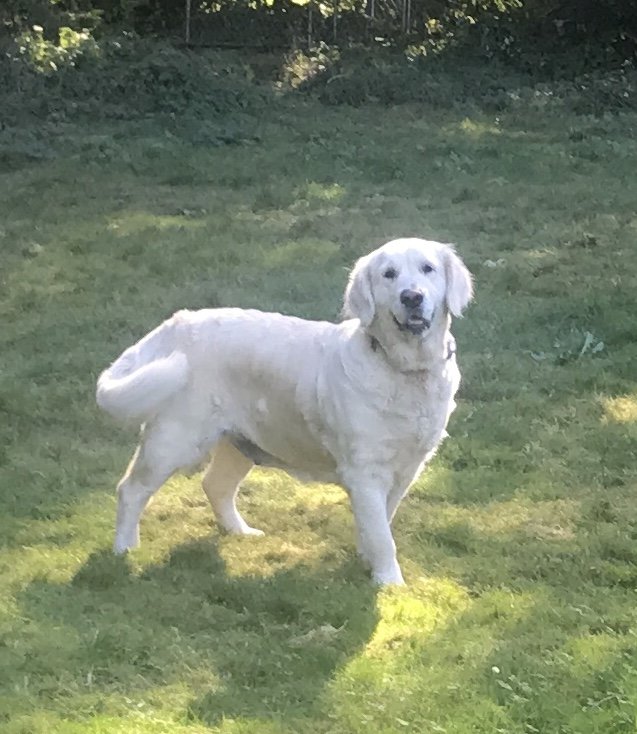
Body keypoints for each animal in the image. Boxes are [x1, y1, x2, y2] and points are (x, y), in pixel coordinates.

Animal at [95, 239, 472, 584]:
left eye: (427, 269)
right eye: (389, 274)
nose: (412, 297)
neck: (405, 370)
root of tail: (176, 324)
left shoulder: (409, 466)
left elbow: (381, 521)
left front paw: (367, 561)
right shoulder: (365, 471)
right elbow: (382, 535)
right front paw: (390, 583)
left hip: (240, 440)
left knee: (215, 485)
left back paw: (240, 532)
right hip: (174, 439)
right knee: (131, 489)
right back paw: (124, 549)